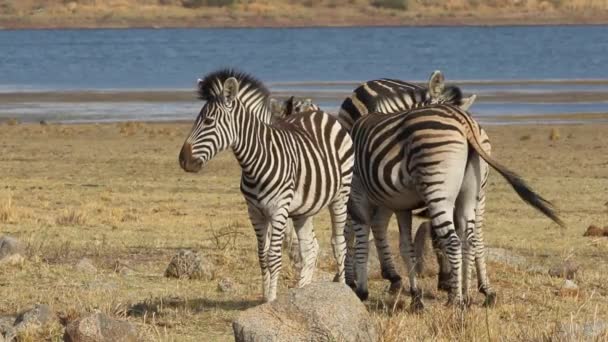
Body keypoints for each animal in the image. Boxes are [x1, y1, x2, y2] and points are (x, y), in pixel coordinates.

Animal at [178, 69, 354, 302]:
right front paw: (265, 298)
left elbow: (273, 256)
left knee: (339, 244)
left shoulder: (278, 210)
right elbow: (262, 255)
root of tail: (322, 114)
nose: (183, 160)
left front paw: (271, 298)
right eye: (196, 119)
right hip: (304, 209)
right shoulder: (255, 212)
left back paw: (342, 289)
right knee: (309, 248)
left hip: (341, 195)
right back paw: (303, 290)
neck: (256, 162)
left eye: (208, 121)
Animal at [346, 103, 564, 308]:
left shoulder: (358, 194)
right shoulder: (400, 205)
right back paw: (468, 295)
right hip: (472, 192)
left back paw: (457, 300)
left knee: (453, 241)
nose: (349, 282)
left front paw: (362, 290)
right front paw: (414, 297)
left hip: (437, 187)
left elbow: (361, 241)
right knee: (470, 238)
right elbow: (404, 247)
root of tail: (463, 119)